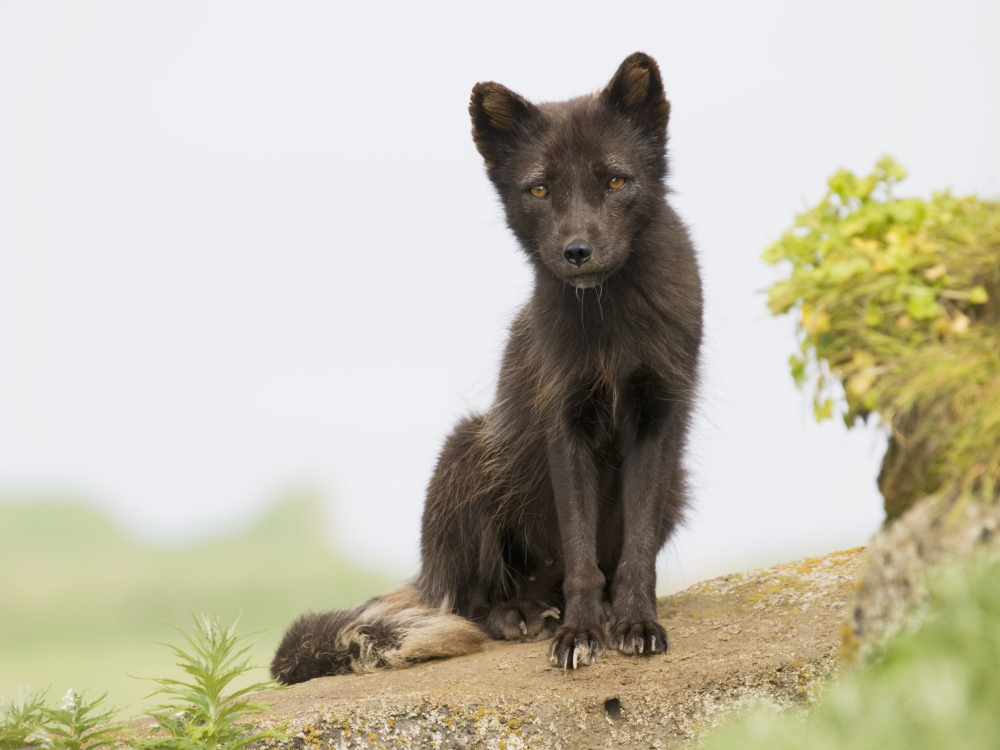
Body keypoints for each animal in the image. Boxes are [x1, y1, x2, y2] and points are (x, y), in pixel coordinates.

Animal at [271, 51, 703, 683]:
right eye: (540, 189)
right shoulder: (564, 423)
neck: (610, 328)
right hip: (470, 447)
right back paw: (520, 615)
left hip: (676, 484)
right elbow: (580, 556)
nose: (577, 252)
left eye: (616, 181)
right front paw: (580, 636)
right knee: (470, 602)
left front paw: (635, 624)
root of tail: (426, 573)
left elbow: (634, 554)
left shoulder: (657, 418)